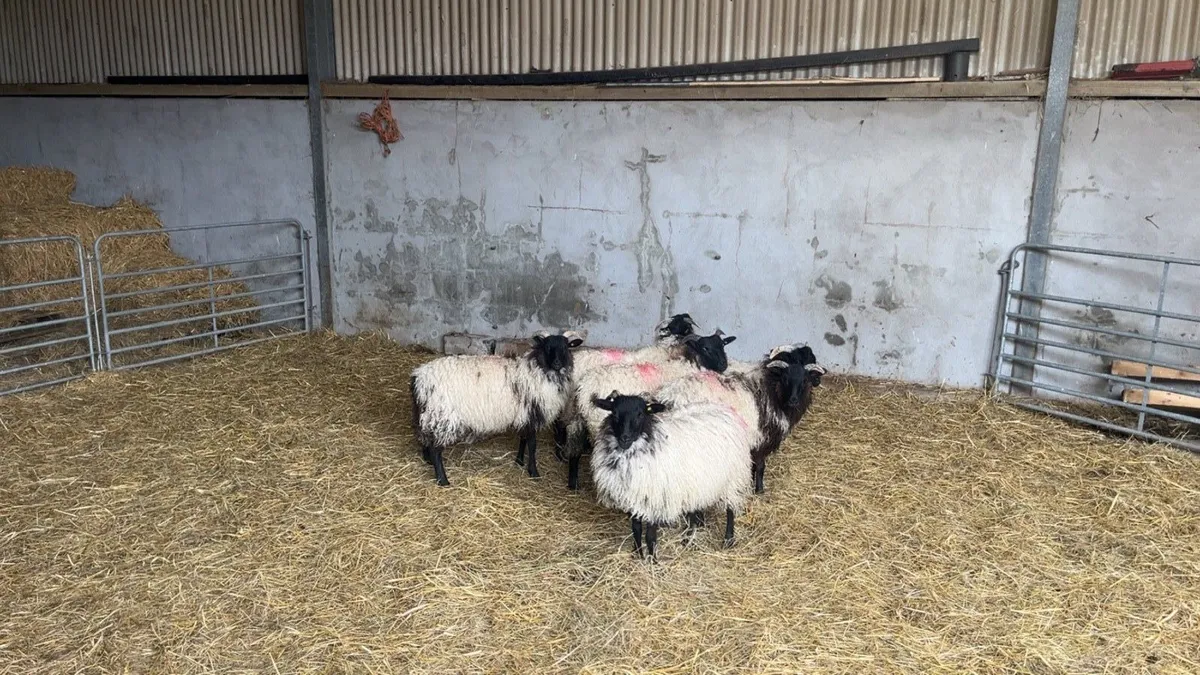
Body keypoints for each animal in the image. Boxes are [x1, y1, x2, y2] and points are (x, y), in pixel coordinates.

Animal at [409, 329, 585, 486]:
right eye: (547, 347)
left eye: (565, 348)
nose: (557, 363)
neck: (539, 370)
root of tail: (419, 378)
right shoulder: (531, 414)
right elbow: (532, 445)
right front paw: (533, 472)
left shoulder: (523, 415)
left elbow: (523, 439)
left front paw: (519, 461)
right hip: (442, 416)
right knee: (435, 450)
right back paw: (443, 480)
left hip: (427, 414)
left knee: (424, 437)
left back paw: (428, 461)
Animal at [561, 330, 738, 490]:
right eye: (705, 348)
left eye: (723, 345)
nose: (724, 365)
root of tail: (584, 387)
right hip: (594, 421)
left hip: (575, 415)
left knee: (573, 447)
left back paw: (573, 483)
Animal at [589, 393, 754, 559]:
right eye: (614, 413)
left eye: (640, 414)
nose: (625, 438)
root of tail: (726, 409)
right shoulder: (633, 498)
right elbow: (636, 529)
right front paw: (637, 554)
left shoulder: (655, 499)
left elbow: (650, 535)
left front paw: (653, 560)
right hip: (696, 482)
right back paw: (688, 540)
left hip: (733, 479)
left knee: (730, 509)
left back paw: (728, 540)